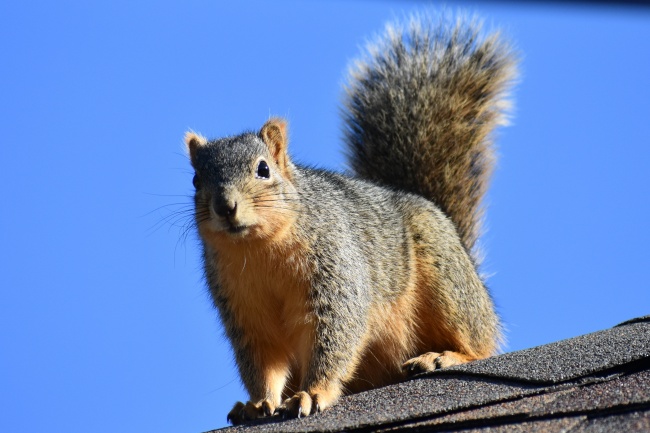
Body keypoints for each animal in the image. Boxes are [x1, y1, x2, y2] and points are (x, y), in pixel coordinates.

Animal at [184, 12, 516, 422]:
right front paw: (257, 403)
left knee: (480, 342)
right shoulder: (242, 308)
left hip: (448, 284)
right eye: (196, 180)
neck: (259, 250)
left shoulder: (337, 275)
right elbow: (261, 361)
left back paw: (443, 357)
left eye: (263, 169)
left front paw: (311, 393)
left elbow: (333, 336)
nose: (225, 206)